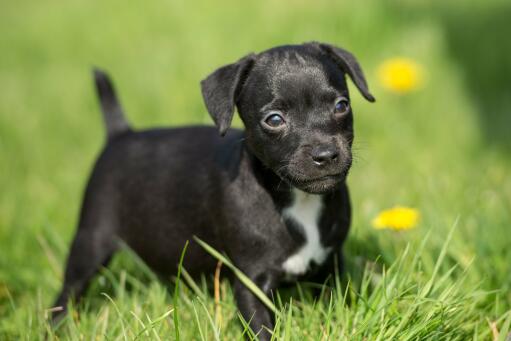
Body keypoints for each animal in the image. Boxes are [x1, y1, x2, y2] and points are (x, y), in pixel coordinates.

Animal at [54, 41, 374, 338]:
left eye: (341, 106)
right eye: (274, 120)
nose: (326, 154)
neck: (298, 200)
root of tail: (120, 134)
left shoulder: (331, 265)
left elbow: (336, 305)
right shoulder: (251, 283)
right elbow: (261, 330)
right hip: (92, 239)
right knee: (67, 293)